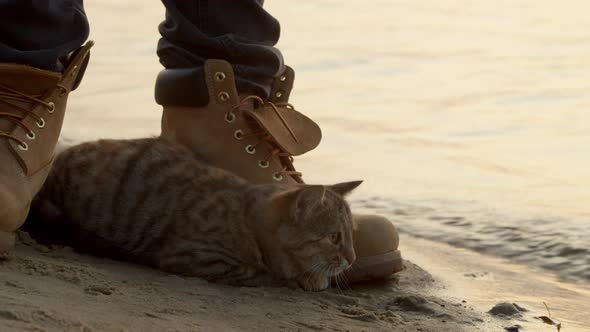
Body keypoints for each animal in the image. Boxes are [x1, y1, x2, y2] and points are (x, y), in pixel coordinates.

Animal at [30, 137, 364, 290]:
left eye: (351, 237)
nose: (352, 259)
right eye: (335, 237)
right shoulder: (196, 256)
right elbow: (261, 273)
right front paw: (299, 277)